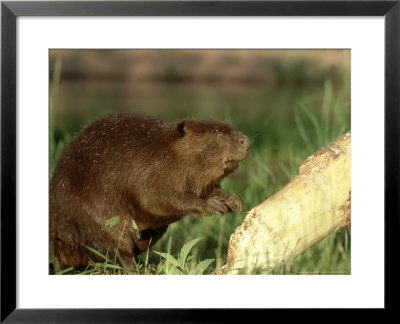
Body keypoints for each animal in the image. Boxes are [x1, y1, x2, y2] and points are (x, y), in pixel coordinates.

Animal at [49, 112, 250, 270]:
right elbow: (158, 199)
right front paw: (212, 205)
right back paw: (141, 268)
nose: (245, 140)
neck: (168, 150)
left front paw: (233, 200)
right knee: (117, 250)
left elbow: (209, 188)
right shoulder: (151, 170)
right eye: (214, 131)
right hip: (99, 222)